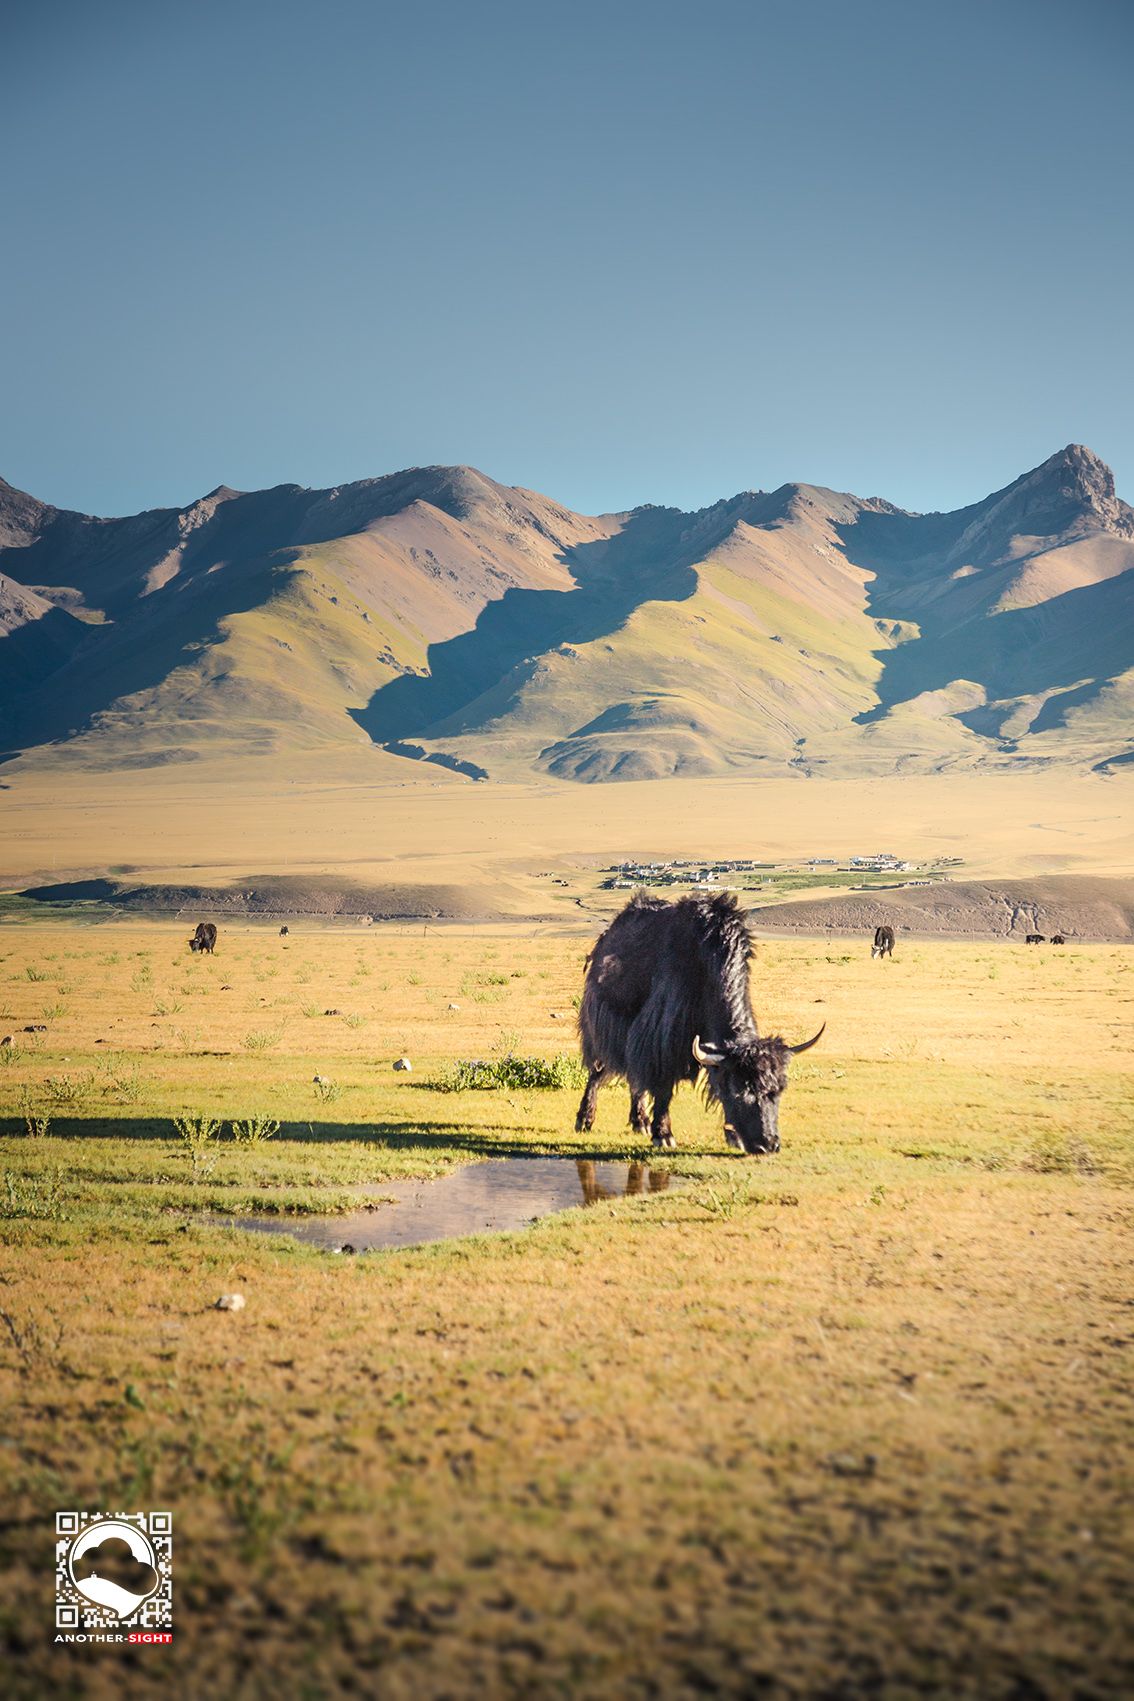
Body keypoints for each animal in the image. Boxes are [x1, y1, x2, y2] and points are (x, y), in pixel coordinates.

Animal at [578, 891, 826, 1156]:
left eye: (778, 1089)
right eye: (739, 1091)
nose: (768, 1145)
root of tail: (606, 939)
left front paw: (733, 1137)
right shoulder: (661, 1036)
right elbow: (663, 1085)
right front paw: (663, 1135)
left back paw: (640, 1122)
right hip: (598, 1025)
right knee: (597, 1070)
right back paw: (585, 1120)